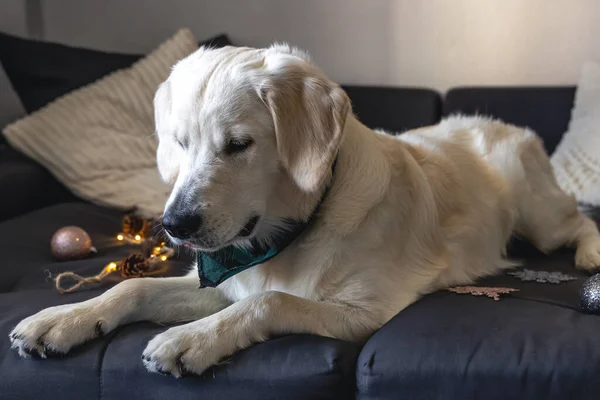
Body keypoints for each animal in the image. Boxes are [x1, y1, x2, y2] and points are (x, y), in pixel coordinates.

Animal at [9, 44, 600, 378]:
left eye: (239, 145)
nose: (174, 226)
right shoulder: (222, 282)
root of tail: (496, 122)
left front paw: (190, 339)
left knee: (580, 220)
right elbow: (133, 287)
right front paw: (63, 320)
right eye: (178, 142)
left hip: (540, 220)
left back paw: (590, 254)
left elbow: (270, 301)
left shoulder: (365, 312)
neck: (285, 234)